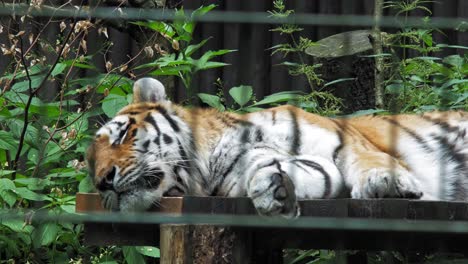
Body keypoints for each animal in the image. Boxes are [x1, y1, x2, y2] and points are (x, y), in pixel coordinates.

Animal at [87, 77, 468, 218]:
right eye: (91, 168)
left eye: (123, 135)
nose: (103, 181)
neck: (211, 160)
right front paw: (274, 191)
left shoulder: (341, 140)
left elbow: (366, 158)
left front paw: (385, 183)